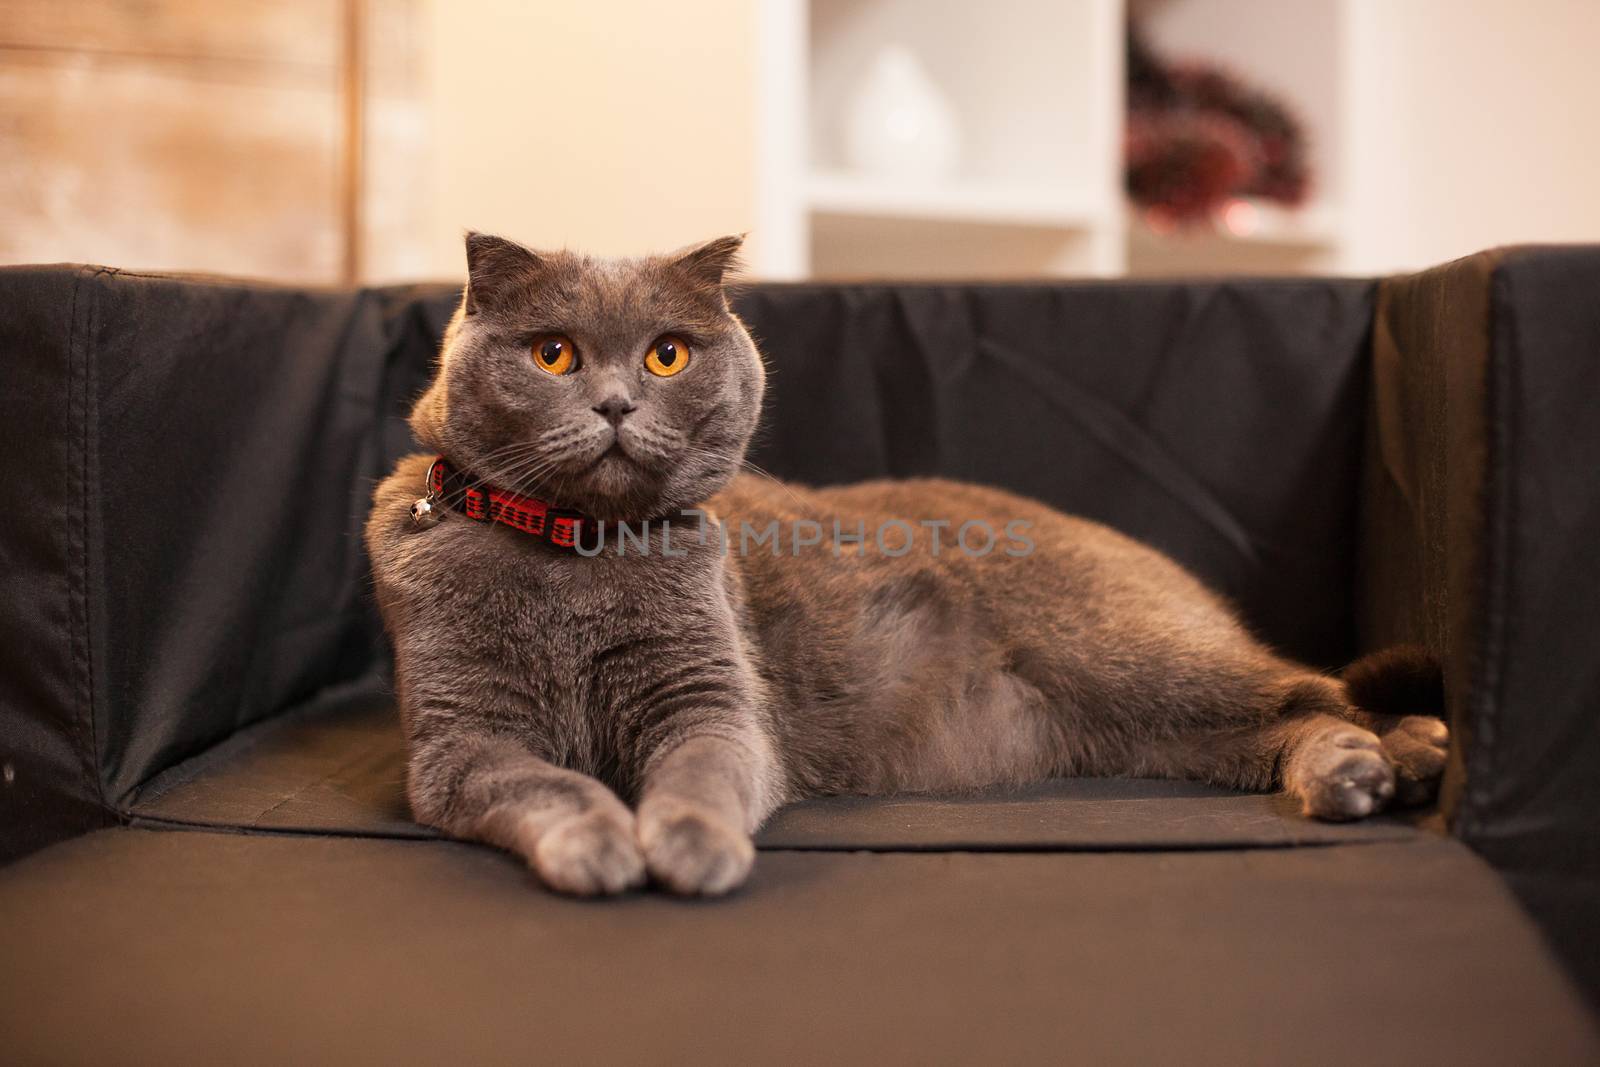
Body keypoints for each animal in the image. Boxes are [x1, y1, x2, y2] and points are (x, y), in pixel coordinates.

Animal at [366, 238, 1452, 895]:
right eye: (552, 353)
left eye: (668, 355)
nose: (617, 402)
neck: (577, 558)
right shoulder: (459, 743)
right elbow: (545, 785)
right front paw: (600, 842)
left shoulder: (712, 698)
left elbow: (702, 768)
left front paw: (689, 845)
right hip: (1144, 727)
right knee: (1283, 722)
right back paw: (1356, 772)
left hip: (1141, 657)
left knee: (1315, 686)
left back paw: (1410, 752)